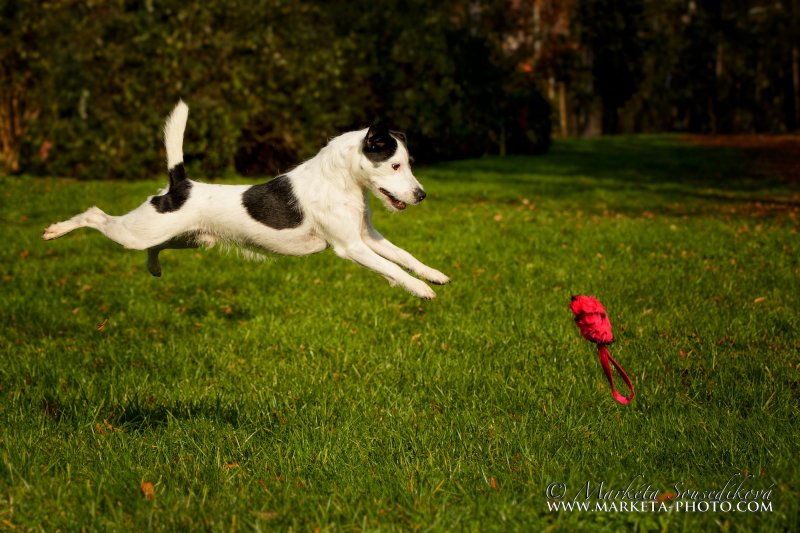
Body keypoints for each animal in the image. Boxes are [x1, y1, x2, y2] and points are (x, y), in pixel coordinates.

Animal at [42, 102, 450, 298]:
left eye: (409, 163)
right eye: (395, 164)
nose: (421, 195)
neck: (340, 181)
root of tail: (179, 186)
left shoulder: (367, 237)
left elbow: (405, 257)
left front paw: (434, 275)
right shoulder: (352, 247)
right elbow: (392, 269)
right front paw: (421, 290)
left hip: (186, 238)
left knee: (154, 248)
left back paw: (154, 269)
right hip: (136, 231)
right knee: (96, 215)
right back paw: (56, 230)